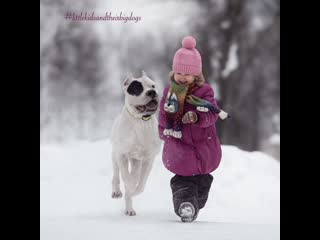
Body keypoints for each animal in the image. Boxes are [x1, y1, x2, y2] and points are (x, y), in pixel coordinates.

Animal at [110, 70, 161, 215]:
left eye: (153, 86)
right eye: (137, 88)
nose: (151, 92)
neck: (141, 121)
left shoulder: (149, 158)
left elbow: (141, 183)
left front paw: (134, 191)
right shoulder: (121, 155)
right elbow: (127, 179)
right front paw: (129, 188)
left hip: (136, 160)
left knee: (135, 174)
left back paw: (129, 207)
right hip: (115, 154)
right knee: (116, 174)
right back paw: (117, 192)